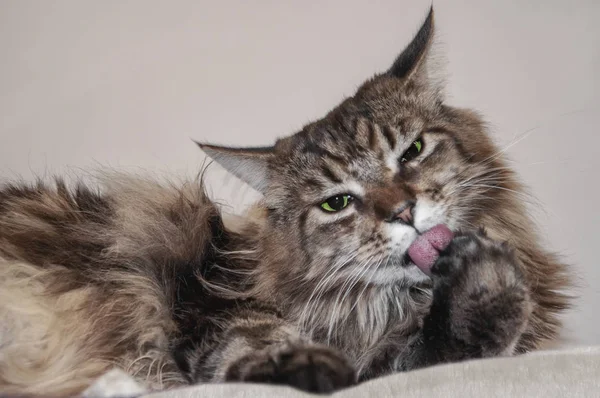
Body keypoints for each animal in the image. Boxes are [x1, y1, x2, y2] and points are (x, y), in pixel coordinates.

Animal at [0, 7, 572, 396]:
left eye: (411, 152)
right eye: (336, 204)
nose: (403, 213)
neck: (396, 303)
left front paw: (484, 287)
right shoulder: (221, 323)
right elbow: (268, 351)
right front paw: (307, 369)